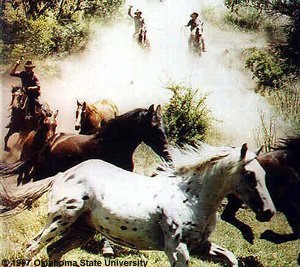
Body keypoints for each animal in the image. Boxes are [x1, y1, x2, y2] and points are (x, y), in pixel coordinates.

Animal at [4, 143, 276, 266]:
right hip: (60, 221)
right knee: (32, 248)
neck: (191, 197)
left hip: (82, 230)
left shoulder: (200, 245)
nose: (268, 212)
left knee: (52, 251)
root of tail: (63, 174)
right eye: (250, 174)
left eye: (264, 174)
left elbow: (230, 257)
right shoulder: (176, 248)